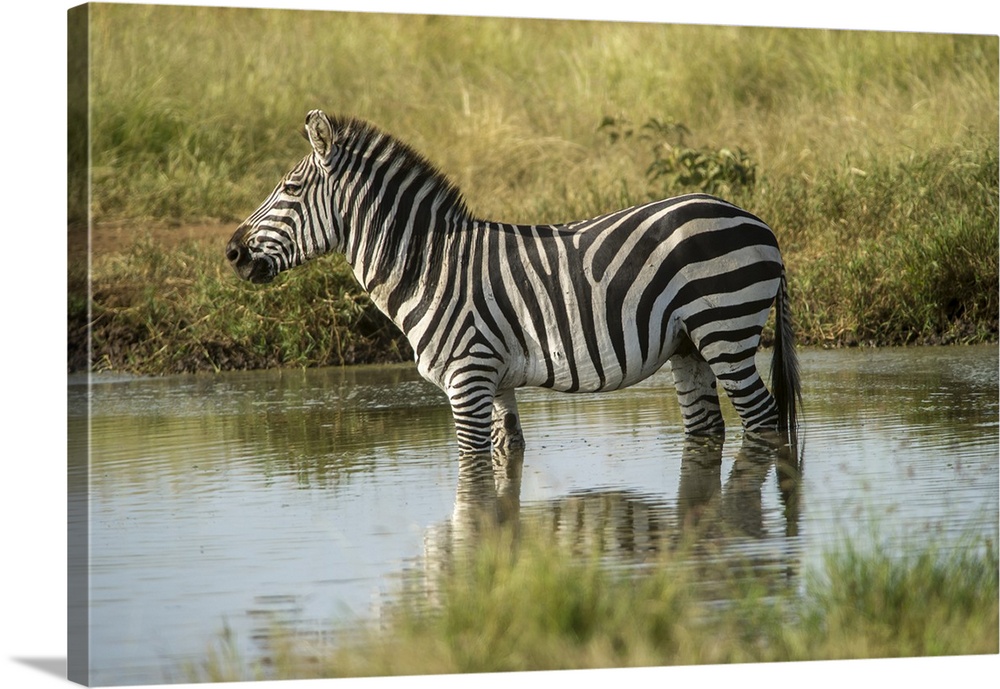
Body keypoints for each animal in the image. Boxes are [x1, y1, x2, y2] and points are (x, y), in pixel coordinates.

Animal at [229, 110, 804, 456]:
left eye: (290, 188)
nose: (232, 253)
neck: (429, 265)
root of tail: (758, 221)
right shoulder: (497, 381)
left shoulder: (467, 378)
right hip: (688, 344)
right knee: (709, 430)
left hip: (725, 327)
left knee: (763, 419)